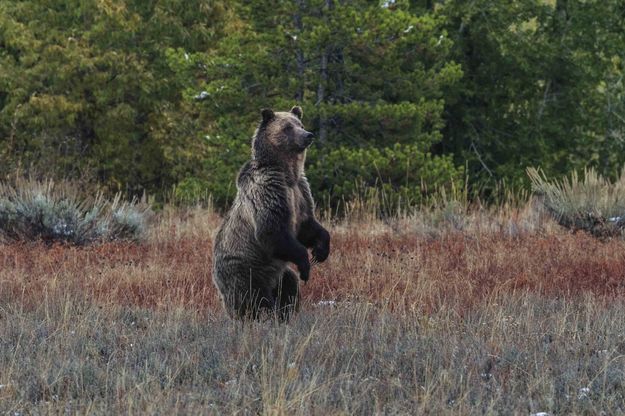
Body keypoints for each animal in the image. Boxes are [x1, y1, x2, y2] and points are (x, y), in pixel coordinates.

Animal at [211, 105, 330, 320]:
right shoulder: (268, 189)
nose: (308, 135)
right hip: (246, 271)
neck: (287, 173)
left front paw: (320, 250)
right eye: (287, 127)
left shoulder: (300, 191)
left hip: (278, 274)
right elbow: (272, 230)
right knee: (252, 299)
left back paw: (284, 314)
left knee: (289, 286)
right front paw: (305, 266)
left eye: (300, 124)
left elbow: (307, 225)